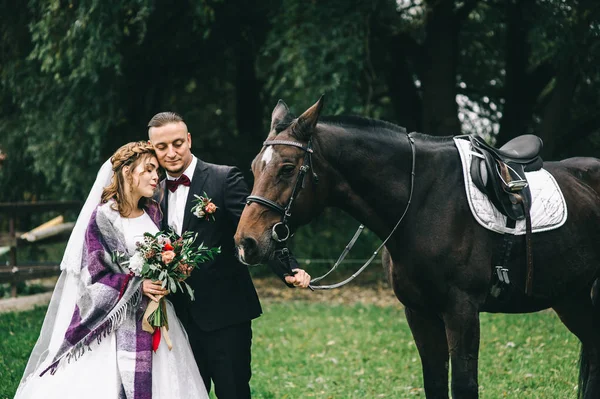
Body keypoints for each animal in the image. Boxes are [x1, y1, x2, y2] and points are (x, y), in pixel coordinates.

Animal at [232, 97, 600, 399]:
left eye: (288, 168)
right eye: (253, 167)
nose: (246, 242)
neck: (422, 198)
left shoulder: (462, 310)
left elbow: (464, 385)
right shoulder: (419, 312)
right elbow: (434, 382)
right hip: (571, 298)